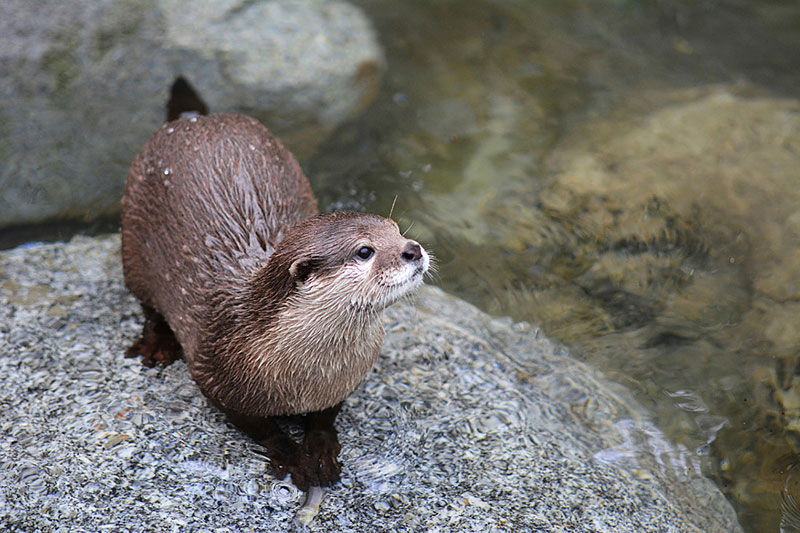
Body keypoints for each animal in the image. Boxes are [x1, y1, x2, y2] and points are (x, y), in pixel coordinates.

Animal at [119, 77, 428, 488]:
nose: (413, 249)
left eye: (396, 229)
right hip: (134, 245)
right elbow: (262, 428)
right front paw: (293, 457)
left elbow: (326, 416)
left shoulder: (341, 383)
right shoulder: (216, 374)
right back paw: (155, 345)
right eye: (365, 251)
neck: (306, 376)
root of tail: (193, 120)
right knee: (147, 304)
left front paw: (322, 450)